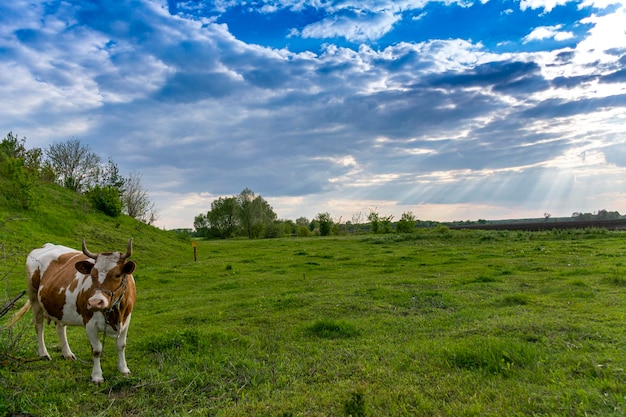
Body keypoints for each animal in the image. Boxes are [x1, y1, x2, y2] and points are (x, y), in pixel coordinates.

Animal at [14, 237, 136, 384]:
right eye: (92, 275)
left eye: (117, 275)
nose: (95, 302)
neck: (115, 313)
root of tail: (44, 246)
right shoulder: (89, 323)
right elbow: (96, 350)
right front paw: (97, 376)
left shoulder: (126, 319)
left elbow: (121, 345)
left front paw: (124, 369)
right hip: (34, 299)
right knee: (39, 327)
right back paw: (44, 353)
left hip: (59, 306)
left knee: (60, 328)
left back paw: (67, 354)